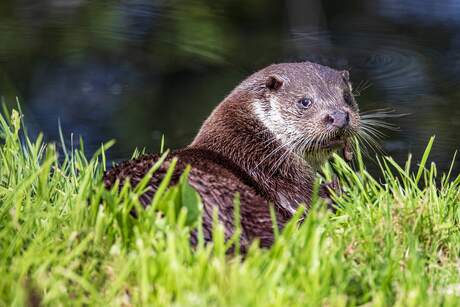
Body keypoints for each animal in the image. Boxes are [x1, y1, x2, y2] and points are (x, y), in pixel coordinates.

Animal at [104, 61, 360, 251]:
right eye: (304, 101)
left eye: (346, 97)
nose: (339, 116)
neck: (255, 141)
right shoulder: (275, 174)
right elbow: (308, 203)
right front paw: (335, 190)